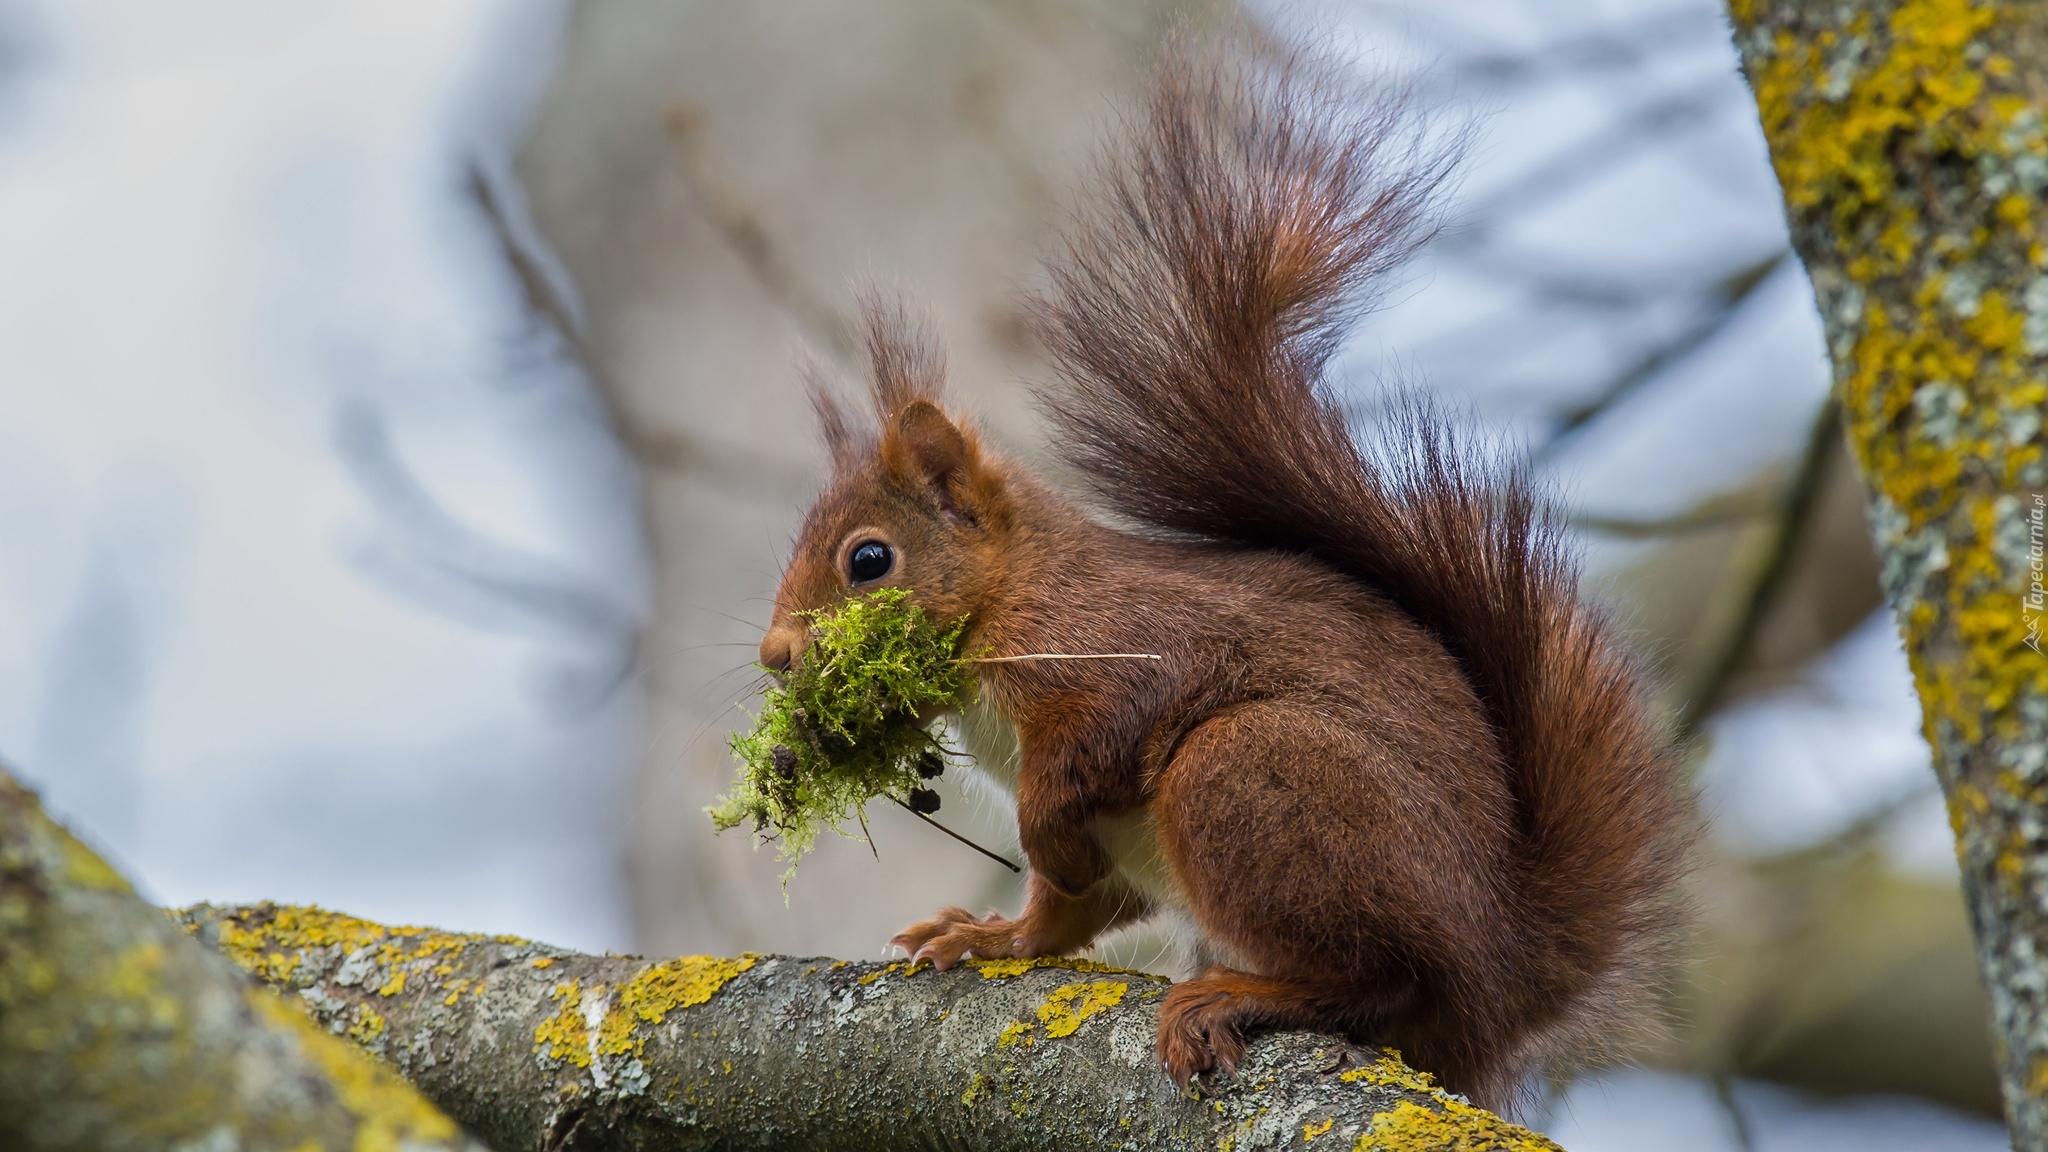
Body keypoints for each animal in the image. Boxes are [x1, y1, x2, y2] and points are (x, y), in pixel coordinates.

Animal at [761, 51, 1687, 1106]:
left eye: (869, 560)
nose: (774, 654)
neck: (1011, 594)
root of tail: (1499, 975)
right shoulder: (1102, 849)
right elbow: (1066, 911)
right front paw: (993, 936)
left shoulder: (1119, 645)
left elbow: (1094, 752)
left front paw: (1036, 843)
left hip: (1247, 779)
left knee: (1379, 975)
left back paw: (1235, 995)